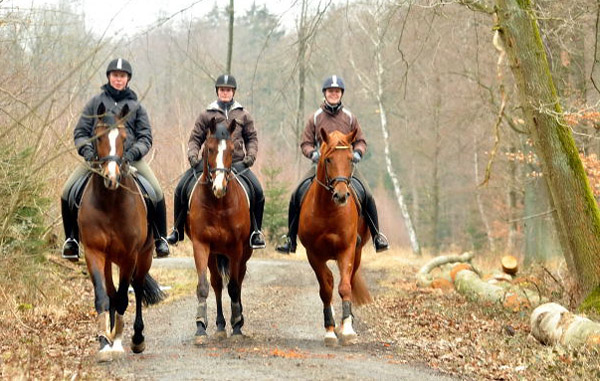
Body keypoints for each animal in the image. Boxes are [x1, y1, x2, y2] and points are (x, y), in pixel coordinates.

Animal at [79, 101, 166, 362]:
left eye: (125, 138)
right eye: (98, 138)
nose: (111, 177)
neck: (111, 202)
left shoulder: (129, 256)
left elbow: (123, 297)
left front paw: (117, 342)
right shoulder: (94, 252)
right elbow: (103, 296)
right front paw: (104, 343)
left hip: (144, 256)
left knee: (136, 288)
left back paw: (137, 339)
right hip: (110, 259)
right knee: (110, 291)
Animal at [188, 116, 253, 344]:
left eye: (232, 150)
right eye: (209, 148)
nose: (219, 187)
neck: (218, 204)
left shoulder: (235, 248)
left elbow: (233, 287)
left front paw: (237, 327)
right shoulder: (201, 245)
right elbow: (204, 286)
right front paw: (200, 327)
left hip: (243, 254)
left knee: (239, 282)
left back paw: (238, 319)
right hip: (213, 254)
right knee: (216, 284)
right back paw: (220, 325)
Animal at [298, 128, 372, 348]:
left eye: (351, 159)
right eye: (328, 159)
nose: (340, 195)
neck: (328, 211)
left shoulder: (346, 249)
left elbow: (345, 287)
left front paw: (347, 330)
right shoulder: (313, 254)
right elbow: (326, 289)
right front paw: (330, 331)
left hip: (357, 253)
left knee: (349, 280)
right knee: (329, 282)